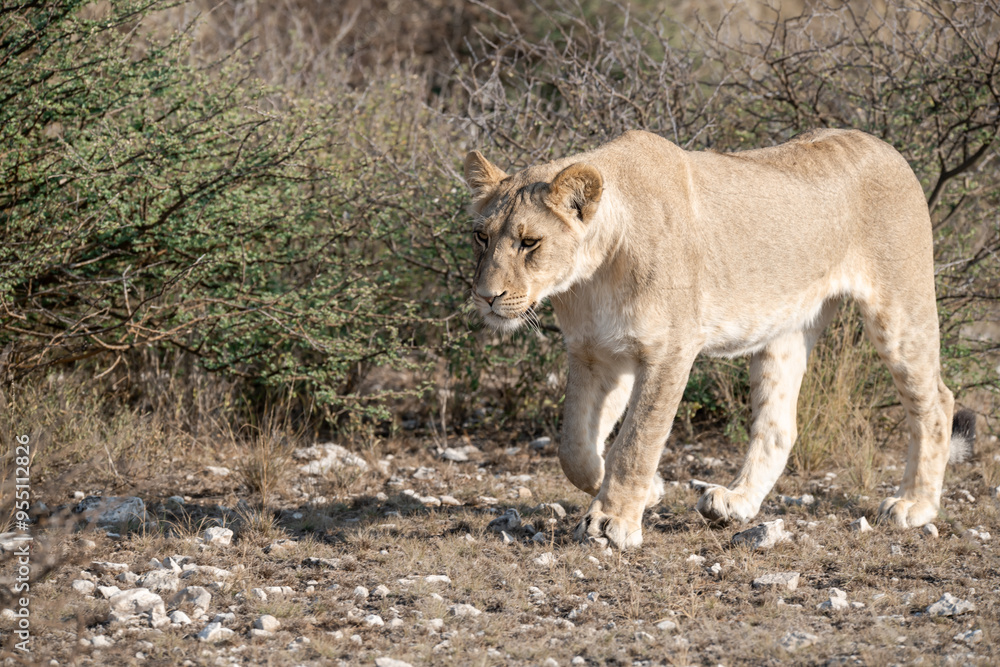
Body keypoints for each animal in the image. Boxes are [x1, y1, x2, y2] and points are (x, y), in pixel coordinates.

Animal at [463, 129, 976, 549]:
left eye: (530, 242)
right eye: (480, 237)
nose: (487, 297)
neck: (591, 276)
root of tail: (886, 147)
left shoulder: (669, 350)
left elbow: (637, 441)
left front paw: (612, 523)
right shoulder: (596, 353)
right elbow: (575, 447)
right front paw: (650, 492)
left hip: (900, 311)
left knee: (937, 402)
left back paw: (914, 505)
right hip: (785, 332)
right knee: (779, 424)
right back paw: (736, 502)